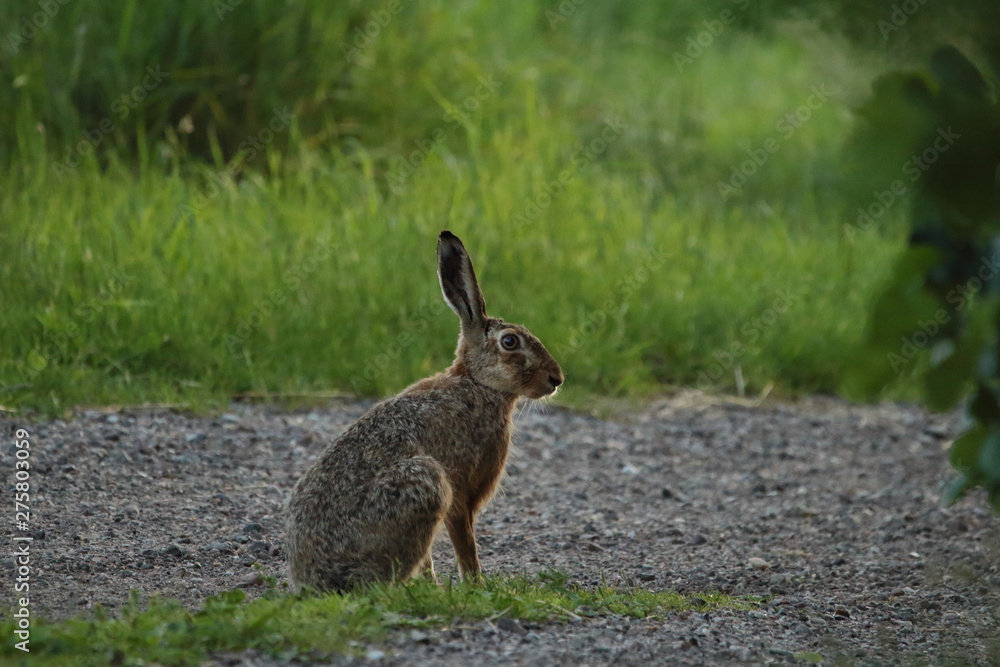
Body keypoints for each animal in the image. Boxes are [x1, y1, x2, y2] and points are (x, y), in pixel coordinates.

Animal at [285, 230, 563, 591]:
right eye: (510, 342)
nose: (556, 379)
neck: (478, 383)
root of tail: (318, 581)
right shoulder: (459, 490)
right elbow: (465, 541)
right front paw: (475, 586)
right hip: (426, 482)